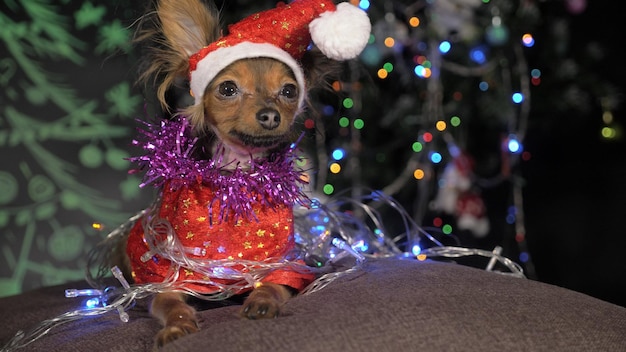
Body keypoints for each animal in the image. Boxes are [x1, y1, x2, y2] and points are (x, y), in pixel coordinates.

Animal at [120, 0, 368, 348]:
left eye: (289, 91)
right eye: (228, 88)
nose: (270, 115)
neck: (234, 178)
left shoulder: (281, 266)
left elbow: (272, 286)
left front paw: (261, 303)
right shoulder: (168, 278)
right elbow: (171, 305)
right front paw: (177, 327)